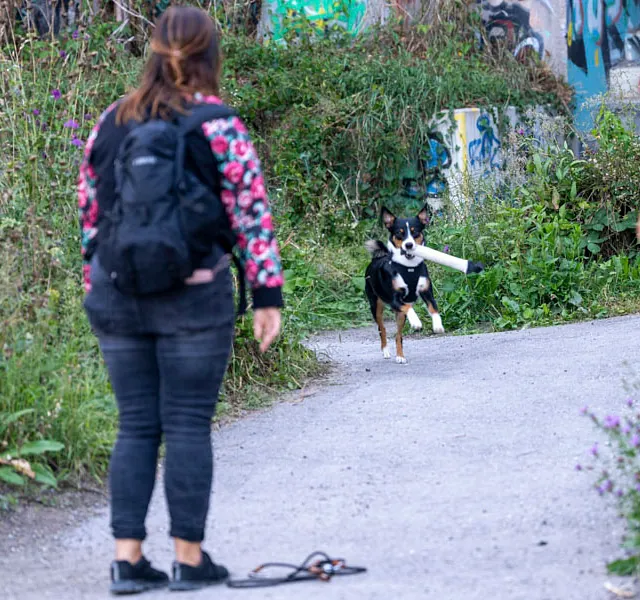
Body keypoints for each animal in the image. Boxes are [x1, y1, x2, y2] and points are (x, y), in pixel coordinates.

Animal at [364, 205, 480, 366]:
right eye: (399, 233)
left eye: (415, 232)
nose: (409, 245)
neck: (409, 267)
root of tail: (377, 257)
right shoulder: (395, 299)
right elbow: (408, 307)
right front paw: (416, 322)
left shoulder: (427, 292)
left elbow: (434, 308)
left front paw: (437, 325)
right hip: (376, 306)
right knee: (382, 328)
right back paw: (386, 350)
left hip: (399, 316)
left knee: (398, 335)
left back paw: (400, 356)